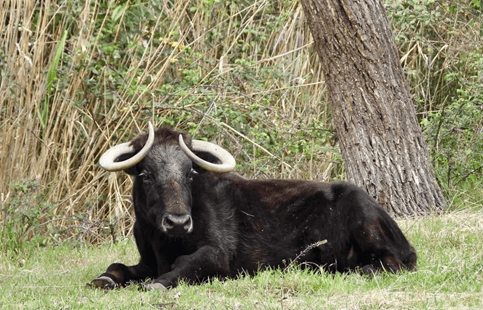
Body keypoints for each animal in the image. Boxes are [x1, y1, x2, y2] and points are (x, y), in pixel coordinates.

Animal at [92, 122, 418, 290]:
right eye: (146, 175)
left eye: (189, 173)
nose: (178, 222)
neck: (163, 242)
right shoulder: (147, 261)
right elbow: (117, 266)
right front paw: (103, 279)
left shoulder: (217, 256)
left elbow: (185, 264)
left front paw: (157, 284)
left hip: (367, 222)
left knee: (394, 263)